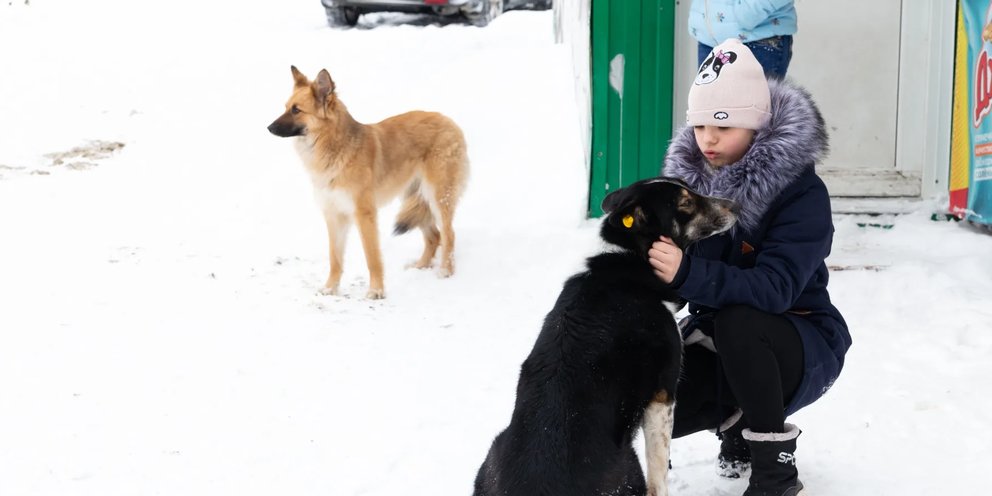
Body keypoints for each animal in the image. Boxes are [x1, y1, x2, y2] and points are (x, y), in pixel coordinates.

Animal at [268, 66, 468, 298]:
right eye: (286, 107)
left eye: (296, 110)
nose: (268, 128)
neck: (335, 148)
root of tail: (448, 120)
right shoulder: (334, 215)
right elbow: (335, 258)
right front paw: (330, 288)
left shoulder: (364, 215)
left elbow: (372, 258)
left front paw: (376, 291)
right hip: (414, 198)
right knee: (434, 236)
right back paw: (421, 266)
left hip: (437, 197)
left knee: (449, 234)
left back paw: (445, 271)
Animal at [472, 178, 736, 496]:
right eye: (685, 202)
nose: (736, 205)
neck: (630, 258)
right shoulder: (663, 396)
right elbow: (659, 473)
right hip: (629, 466)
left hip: (491, 456)